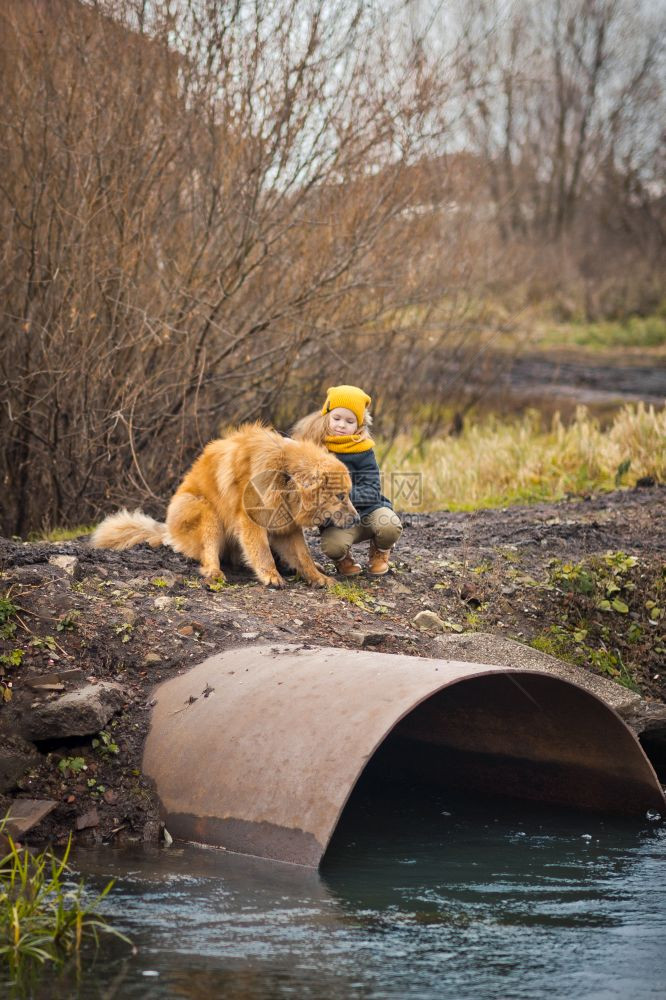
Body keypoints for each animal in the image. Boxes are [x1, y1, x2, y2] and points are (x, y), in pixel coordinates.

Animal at [92, 422, 358, 584]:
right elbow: (262, 552)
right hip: (206, 514)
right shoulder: (251, 523)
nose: (357, 519)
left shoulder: (287, 527)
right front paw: (270, 576)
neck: (285, 474)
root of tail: (168, 531)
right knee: (208, 553)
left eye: (347, 494)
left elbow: (304, 556)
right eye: (340, 496)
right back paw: (214, 571)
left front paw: (316, 576)